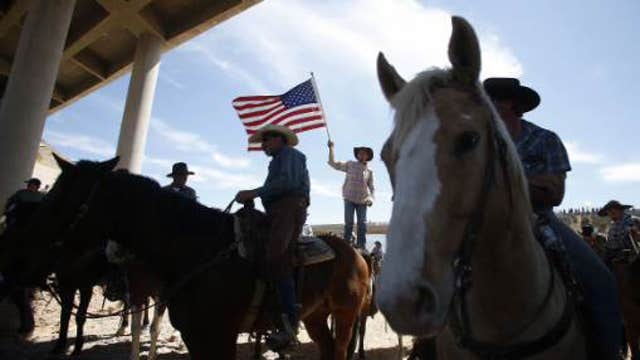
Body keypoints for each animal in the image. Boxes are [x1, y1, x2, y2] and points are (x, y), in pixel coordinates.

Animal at [22, 155, 370, 360]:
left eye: (62, 195)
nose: (27, 242)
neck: (197, 250)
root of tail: (357, 253)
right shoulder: (194, 335)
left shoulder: (219, 337)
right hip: (315, 316)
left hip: (345, 315)